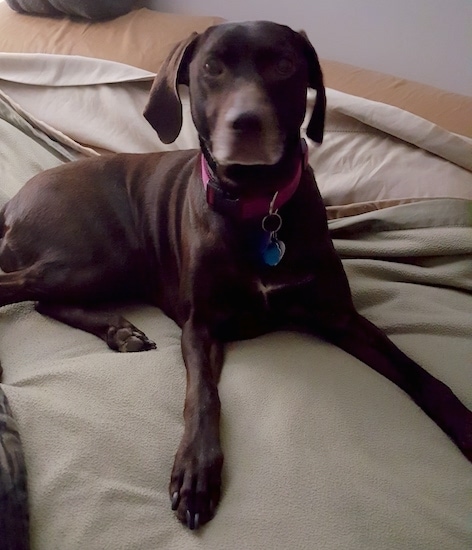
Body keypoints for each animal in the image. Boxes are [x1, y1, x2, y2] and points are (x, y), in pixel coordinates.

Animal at [0, 21, 470, 532]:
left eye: (284, 64)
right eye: (212, 67)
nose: (247, 123)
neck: (258, 205)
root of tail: (13, 202)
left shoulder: (341, 317)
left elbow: (420, 374)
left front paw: (464, 424)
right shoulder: (199, 326)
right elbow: (203, 396)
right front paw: (196, 471)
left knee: (45, 300)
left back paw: (119, 330)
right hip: (100, 256)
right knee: (23, 290)